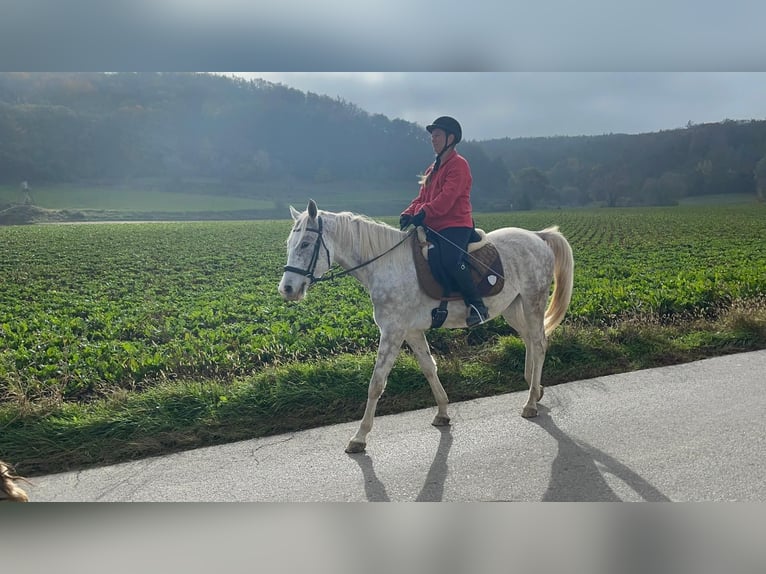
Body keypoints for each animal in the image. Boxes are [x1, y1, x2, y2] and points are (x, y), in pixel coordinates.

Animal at [280, 198, 572, 454]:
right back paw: (535, 388)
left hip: (534, 301)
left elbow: (377, 382)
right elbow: (429, 368)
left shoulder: (393, 331)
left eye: (305, 243)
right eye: (289, 243)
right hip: (512, 306)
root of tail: (537, 236)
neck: (386, 265)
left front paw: (359, 437)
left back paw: (530, 402)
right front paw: (442, 412)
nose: (287, 289)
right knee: (529, 339)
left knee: (539, 342)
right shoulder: (411, 331)